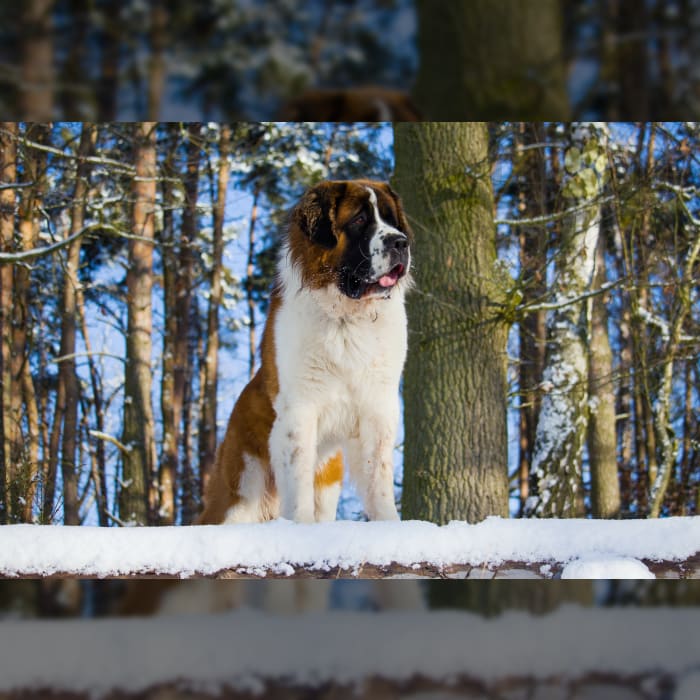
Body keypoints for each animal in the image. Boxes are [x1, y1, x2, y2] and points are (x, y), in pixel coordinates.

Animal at [198, 180, 410, 524]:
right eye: (359, 220)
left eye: (392, 221)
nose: (400, 242)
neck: (346, 317)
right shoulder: (300, 408)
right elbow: (297, 482)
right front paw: (300, 526)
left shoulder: (377, 407)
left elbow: (378, 475)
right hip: (240, 490)